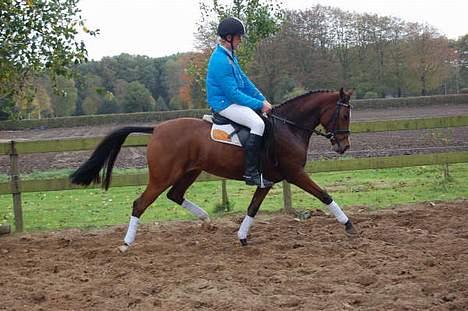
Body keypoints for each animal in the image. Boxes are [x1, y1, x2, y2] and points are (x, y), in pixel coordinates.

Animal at [69, 88, 356, 254]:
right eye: (344, 116)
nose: (344, 146)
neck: (288, 128)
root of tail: (157, 129)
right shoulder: (294, 173)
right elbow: (324, 195)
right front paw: (349, 225)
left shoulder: (267, 181)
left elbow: (253, 208)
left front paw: (242, 237)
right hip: (163, 176)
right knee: (140, 204)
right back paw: (126, 243)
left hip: (189, 172)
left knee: (175, 195)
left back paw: (206, 220)